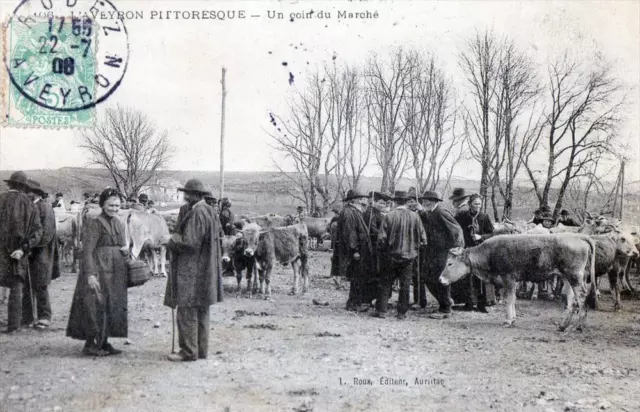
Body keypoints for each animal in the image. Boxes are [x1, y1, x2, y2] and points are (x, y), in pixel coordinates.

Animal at [440, 235, 596, 332]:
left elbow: (509, 300)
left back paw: (580, 326)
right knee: (571, 301)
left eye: (450, 263)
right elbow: (513, 299)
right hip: (567, 279)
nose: (440, 279)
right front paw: (513, 319)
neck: (489, 253)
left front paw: (508, 321)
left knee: (581, 298)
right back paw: (563, 326)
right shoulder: (512, 281)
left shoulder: (508, 277)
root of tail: (576, 236)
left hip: (575, 277)